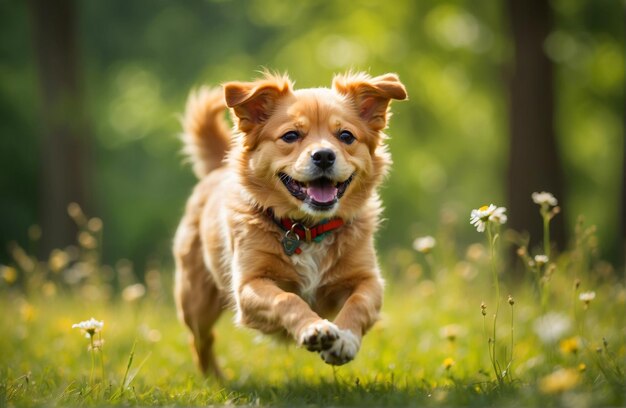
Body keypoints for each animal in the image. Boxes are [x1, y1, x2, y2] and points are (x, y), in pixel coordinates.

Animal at [172, 69, 404, 376]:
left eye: (346, 136)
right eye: (291, 135)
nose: (324, 155)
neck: (307, 229)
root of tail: (216, 170)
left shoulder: (368, 279)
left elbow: (359, 303)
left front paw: (345, 339)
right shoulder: (250, 285)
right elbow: (287, 298)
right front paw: (313, 327)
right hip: (195, 302)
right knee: (202, 339)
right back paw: (215, 378)